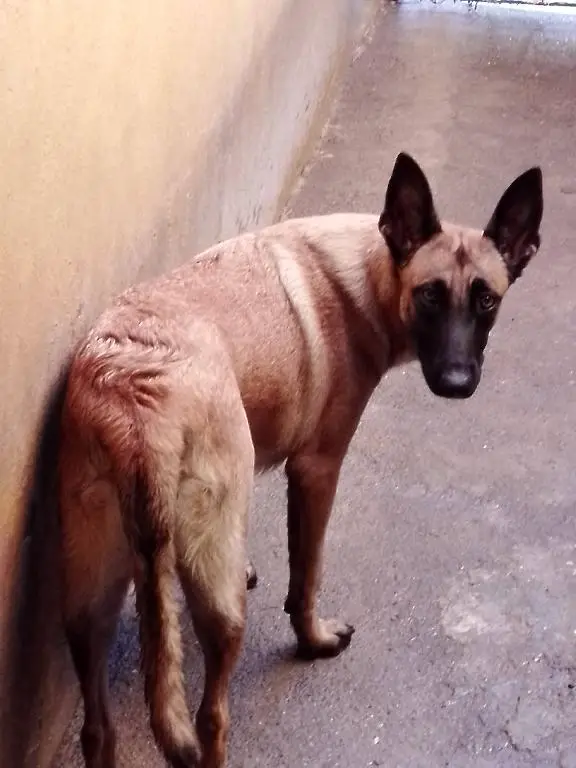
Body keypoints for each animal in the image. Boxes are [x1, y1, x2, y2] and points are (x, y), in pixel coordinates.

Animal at [58, 154, 544, 768]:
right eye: (430, 295)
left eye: (487, 299)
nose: (457, 383)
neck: (373, 273)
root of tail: (136, 399)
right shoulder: (317, 471)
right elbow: (307, 573)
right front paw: (314, 640)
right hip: (221, 618)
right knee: (210, 718)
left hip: (89, 600)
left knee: (97, 728)